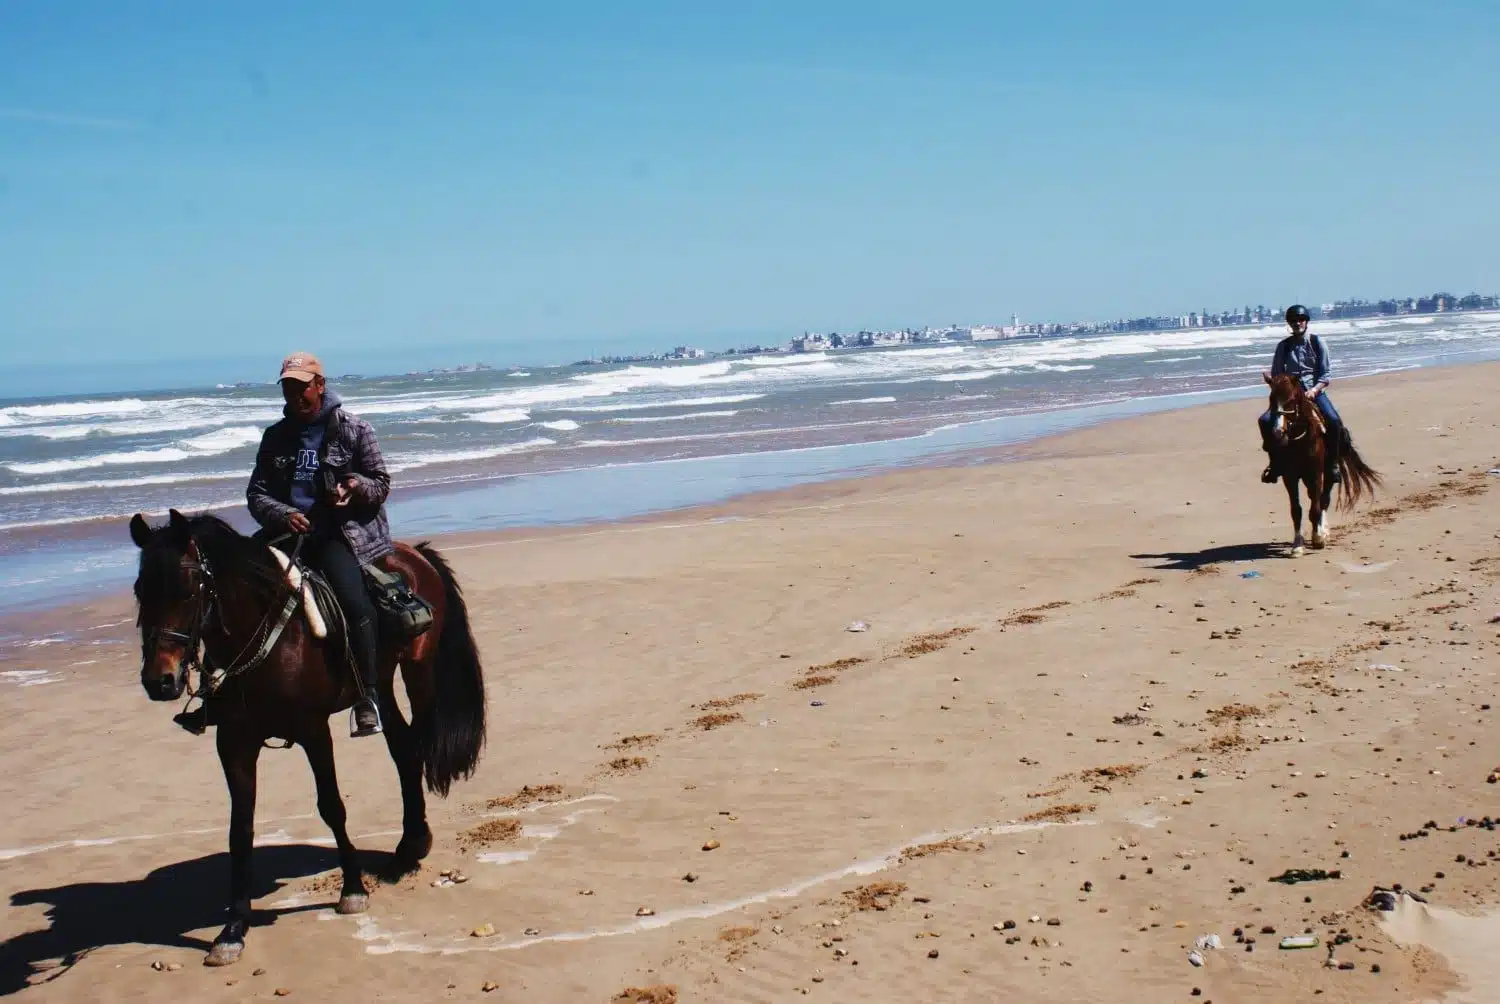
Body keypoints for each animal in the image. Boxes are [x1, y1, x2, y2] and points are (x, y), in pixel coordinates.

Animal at [127, 510, 486, 960]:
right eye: (141, 591)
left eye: (189, 589)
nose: (160, 681)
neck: (262, 636)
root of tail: (414, 553)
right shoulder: (234, 742)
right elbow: (239, 830)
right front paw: (233, 929)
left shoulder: (313, 731)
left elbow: (332, 806)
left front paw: (353, 891)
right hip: (381, 683)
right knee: (403, 749)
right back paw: (407, 850)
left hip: (418, 671)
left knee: (417, 744)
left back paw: (412, 844)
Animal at [1260, 372, 1374, 555]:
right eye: (1271, 399)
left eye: (1290, 400)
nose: (1278, 432)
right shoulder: (1289, 476)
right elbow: (1296, 510)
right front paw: (1297, 545)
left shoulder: (1315, 473)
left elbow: (1315, 508)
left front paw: (1318, 538)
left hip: (1326, 474)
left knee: (1323, 499)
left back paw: (1324, 531)